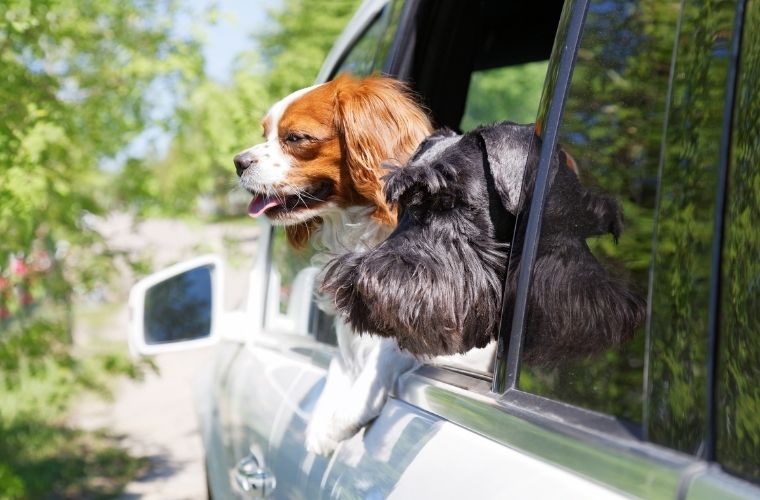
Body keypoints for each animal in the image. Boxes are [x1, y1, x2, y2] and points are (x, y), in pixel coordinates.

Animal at [232, 73, 434, 454]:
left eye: (295, 138)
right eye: (265, 134)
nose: (237, 161)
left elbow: (389, 350)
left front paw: (343, 417)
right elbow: (342, 360)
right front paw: (320, 421)